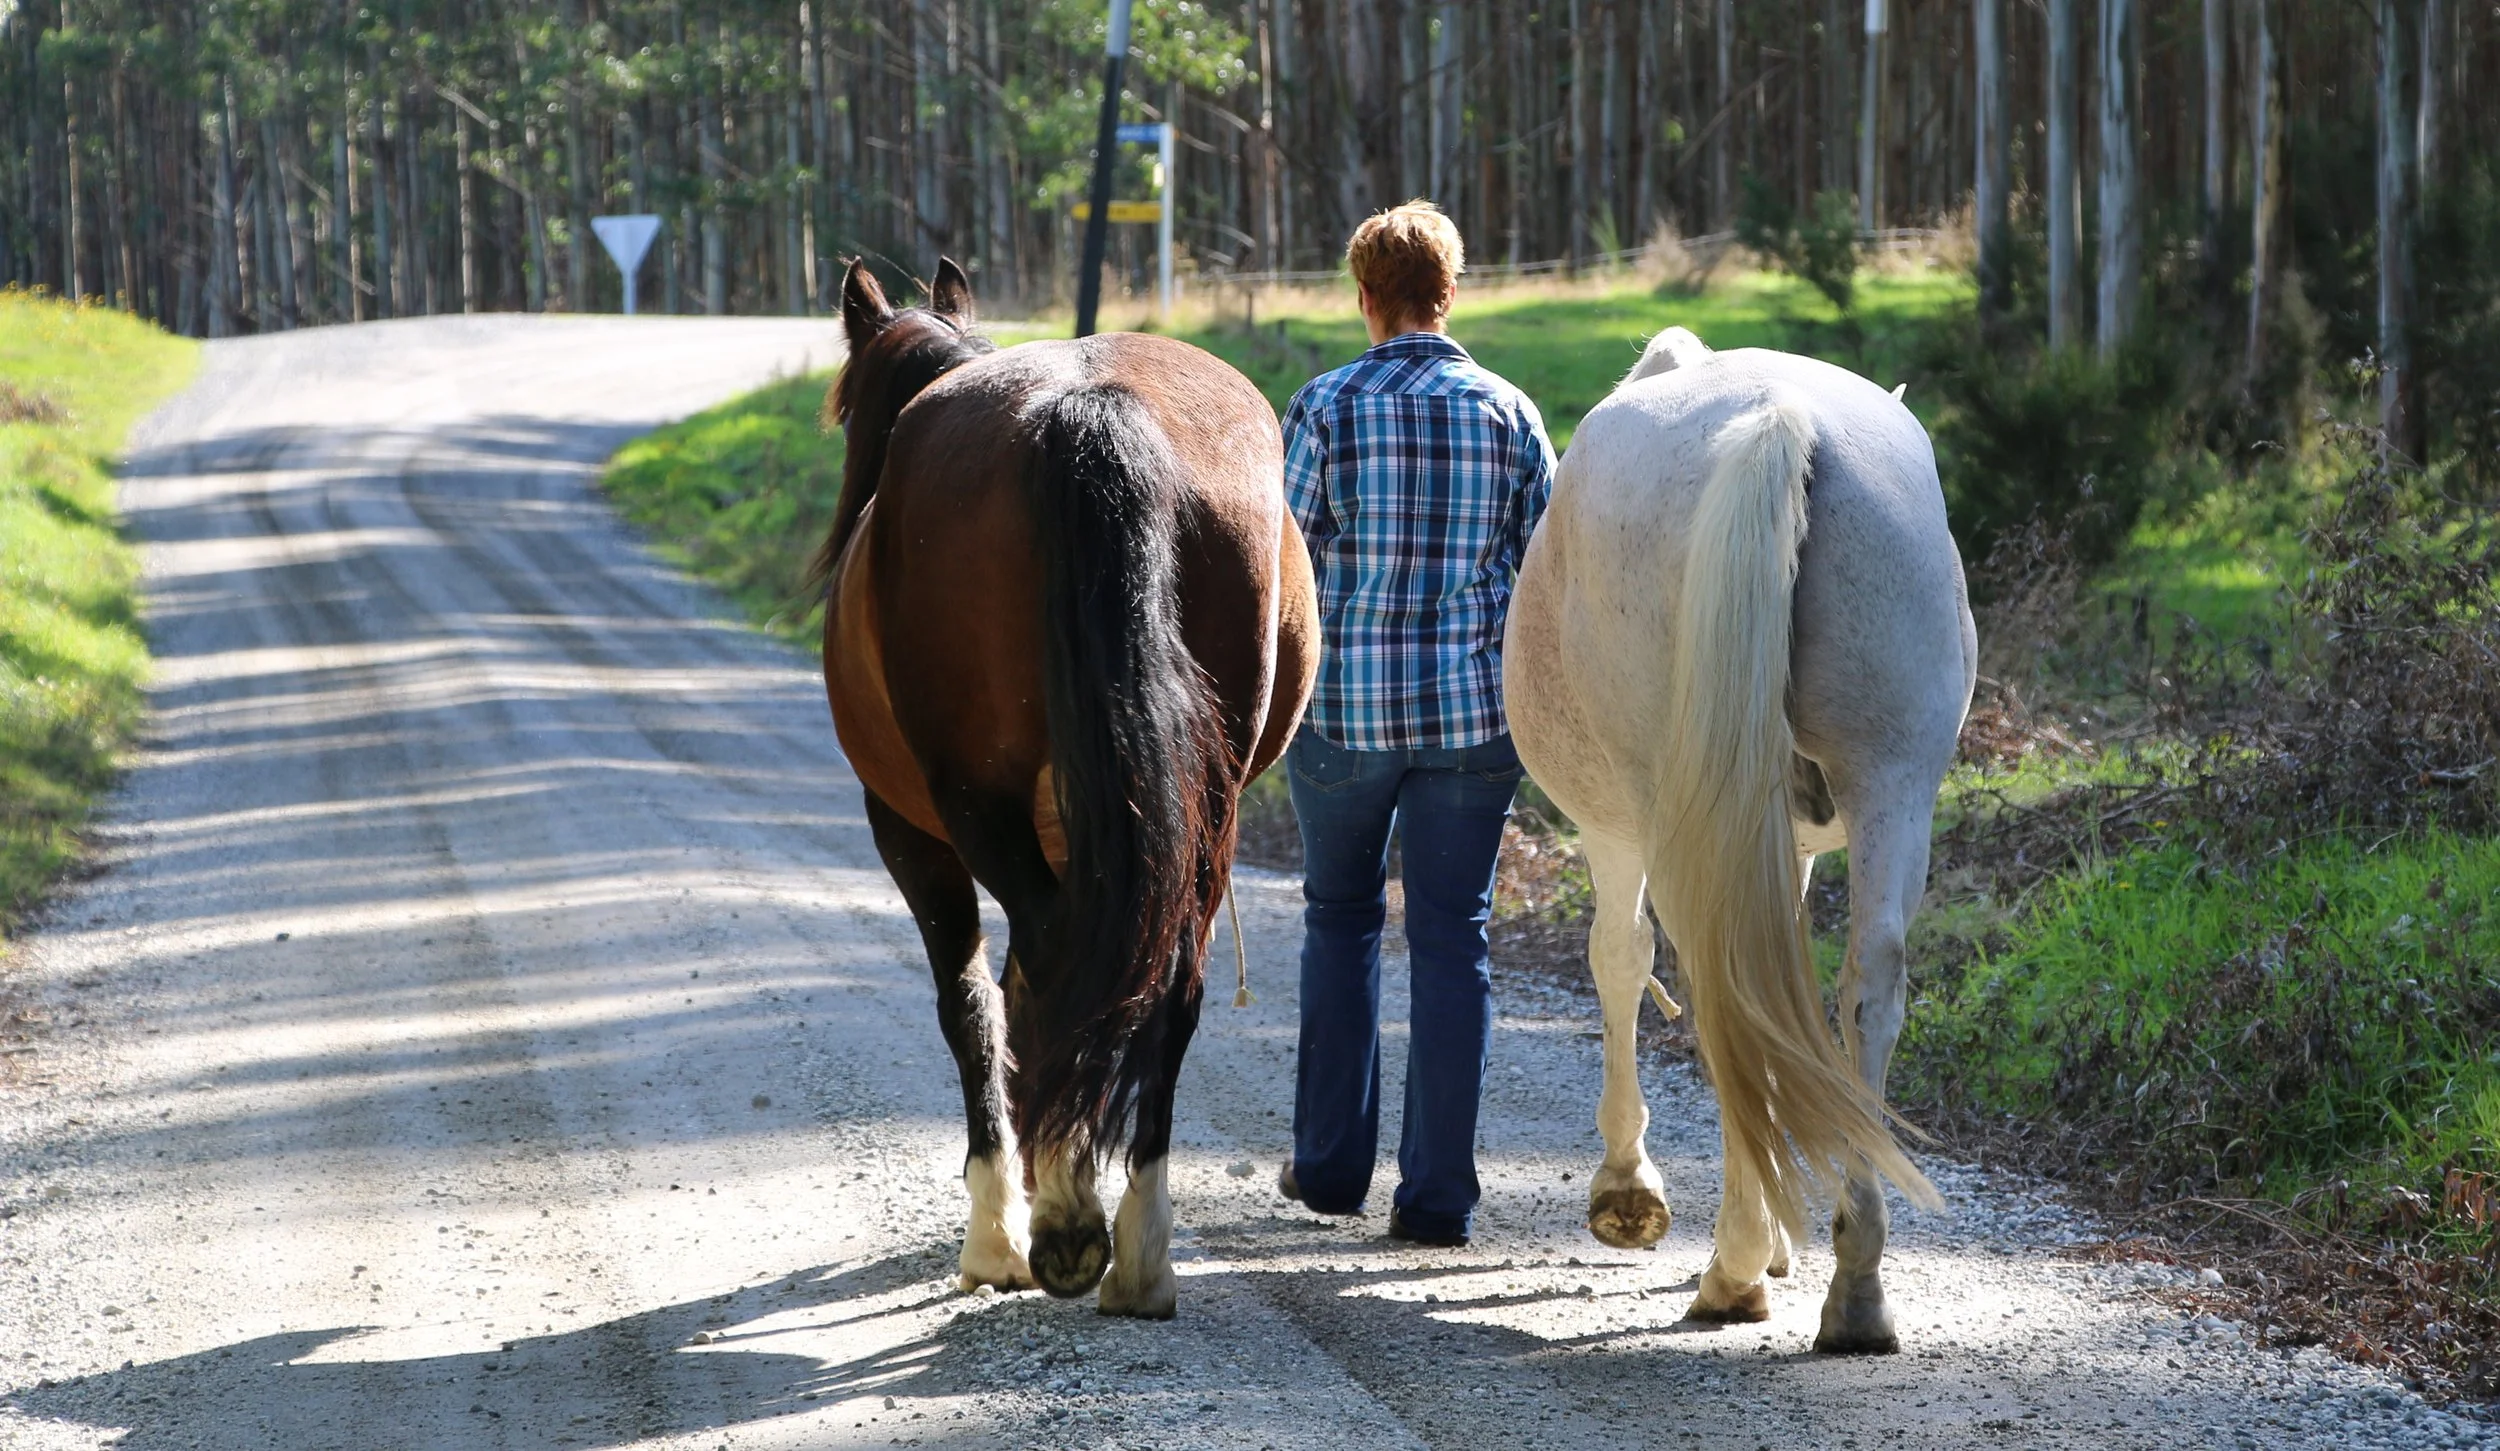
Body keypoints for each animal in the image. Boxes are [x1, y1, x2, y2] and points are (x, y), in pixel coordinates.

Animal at [813, 258, 1316, 1317]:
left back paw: (1064, 1221)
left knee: (1045, 960)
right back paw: (1139, 1248)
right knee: (1163, 981)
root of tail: (1091, 407)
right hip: (1204, 809)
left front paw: (997, 1228)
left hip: (978, 804)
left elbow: (975, 1003)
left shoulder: (912, 834)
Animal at [1503, 326, 1974, 1353]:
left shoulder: (1615, 830)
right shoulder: (1782, 845)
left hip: (1670, 809)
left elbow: (1620, 958)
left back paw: (1733, 1269)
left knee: (1717, 988)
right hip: (1893, 782)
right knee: (1865, 987)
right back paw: (1854, 1287)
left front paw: (1628, 1189)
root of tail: (1779, 422)